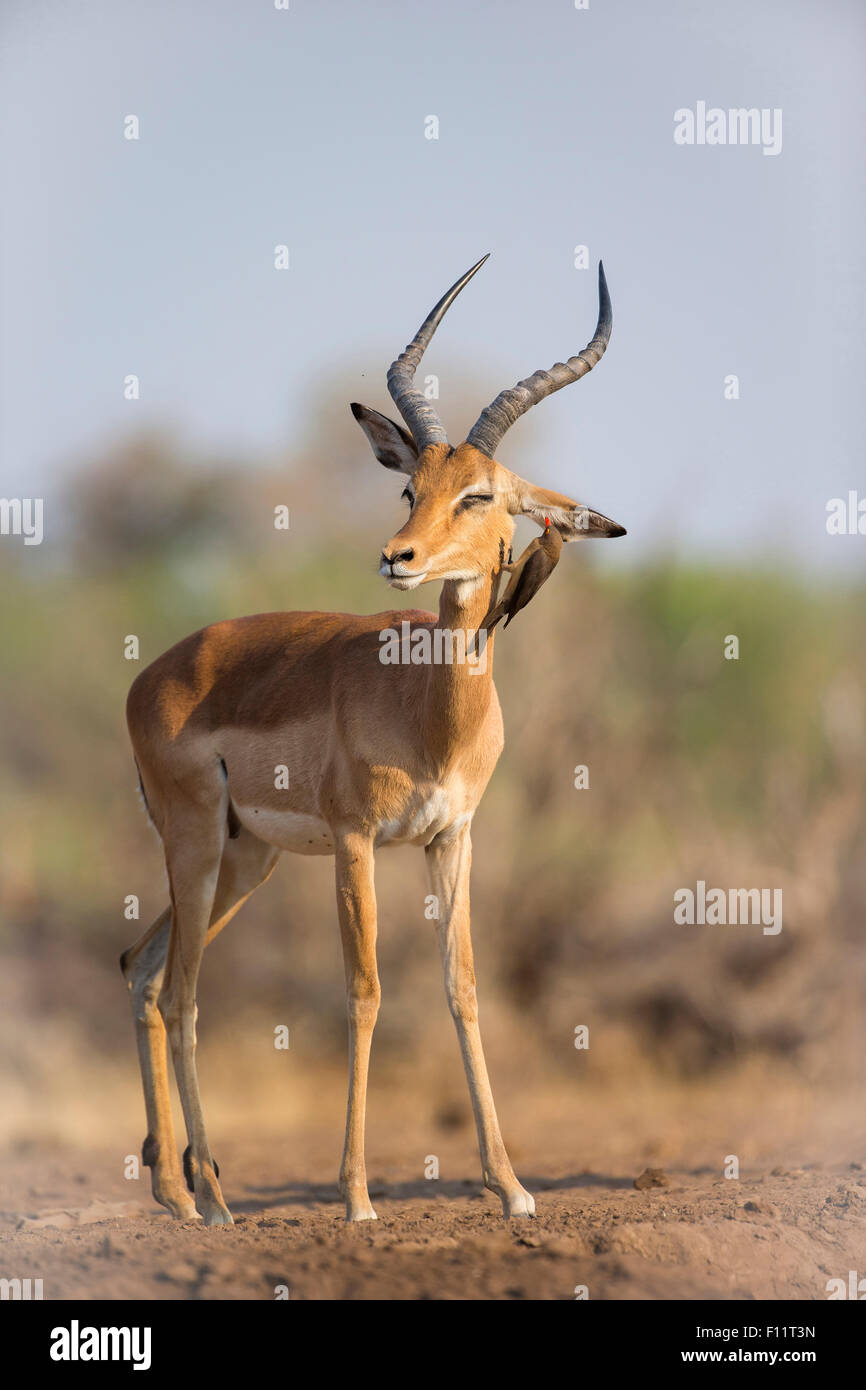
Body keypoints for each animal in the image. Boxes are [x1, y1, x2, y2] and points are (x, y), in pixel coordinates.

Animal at [121, 256, 626, 1227]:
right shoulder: (357, 843)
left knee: (142, 969)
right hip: (198, 846)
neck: (428, 710)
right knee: (184, 992)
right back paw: (209, 1200)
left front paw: (511, 1187)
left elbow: (462, 987)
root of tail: (149, 675)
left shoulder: (450, 839)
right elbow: (365, 992)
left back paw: (179, 1191)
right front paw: (356, 1197)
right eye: (409, 487)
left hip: (246, 859)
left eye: (479, 493)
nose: (399, 556)